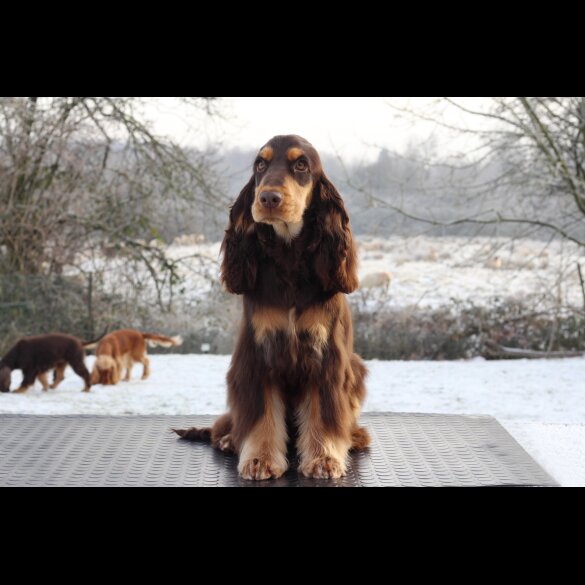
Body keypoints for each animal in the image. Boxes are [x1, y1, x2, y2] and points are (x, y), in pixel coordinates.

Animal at [173, 135, 370, 476]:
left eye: (301, 164)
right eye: (260, 164)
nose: (268, 198)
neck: (290, 258)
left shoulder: (327, 357)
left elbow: (324, 413)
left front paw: (323, 458)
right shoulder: (256, 356)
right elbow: (261, 416)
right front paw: (259, 459)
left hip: (356, 368)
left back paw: (354, 437)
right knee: (228, 424)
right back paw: (228, 439)